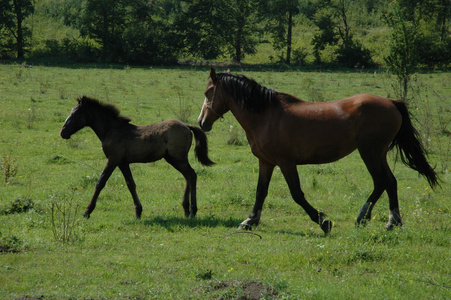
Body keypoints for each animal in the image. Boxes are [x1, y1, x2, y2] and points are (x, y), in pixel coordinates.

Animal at [61, 96, 215, 218]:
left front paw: (87, 211)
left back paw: (192, 211)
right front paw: (138, 211)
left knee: (191, 175)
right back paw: (186, 209)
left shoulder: (113, 159)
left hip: (177, 158)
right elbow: (131, 184)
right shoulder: (123, 163)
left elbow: (101, 182)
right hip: (173, 159)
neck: (112, 130)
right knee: (189, 176)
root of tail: (187, 126)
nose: (62, 132)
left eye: (74, 114)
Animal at [199, 68, 438, 234]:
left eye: (208, 92)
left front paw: (324, 222)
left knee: (382, 181)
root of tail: (391, 102)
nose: (202, 122)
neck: (266, 115)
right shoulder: (266, 162)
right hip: (376, 154)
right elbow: (260, 192)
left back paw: (367, 218)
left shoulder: (286, 163)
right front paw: (249, 221)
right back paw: (391, 222)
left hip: (370, 152)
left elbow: (297, 194)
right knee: (390, 182)